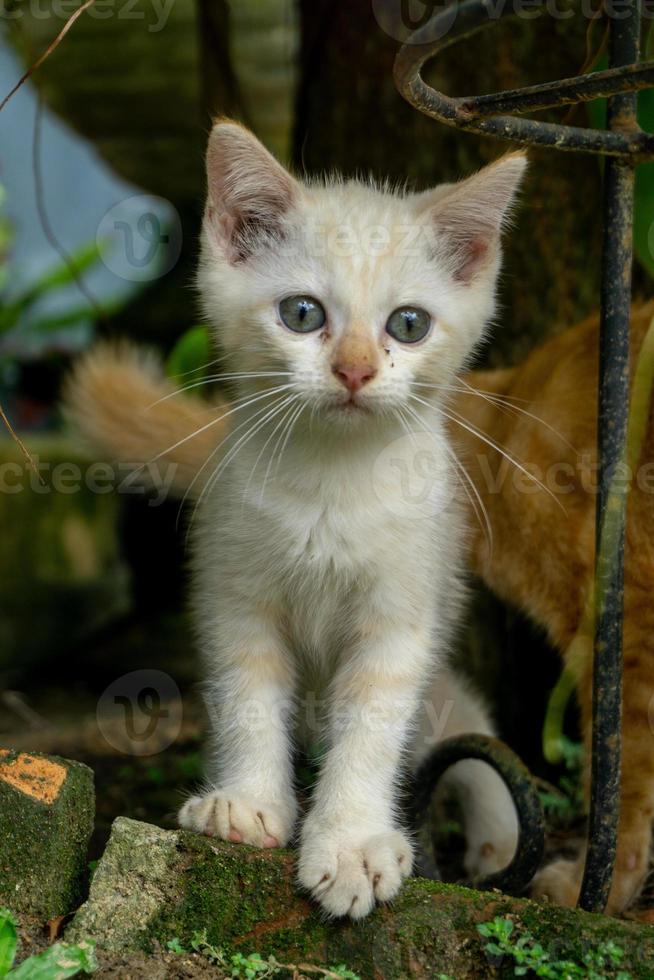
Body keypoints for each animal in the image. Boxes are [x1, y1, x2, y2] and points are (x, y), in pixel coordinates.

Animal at [176, 124, 528, 920]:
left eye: (409, 324)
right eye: (302, 314)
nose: (356, 370)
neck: (331, 484)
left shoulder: (401, 614)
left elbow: (371, 728)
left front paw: (351, 843)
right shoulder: (234, 593)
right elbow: (247, 697)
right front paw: (248, 802)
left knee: (463, 715)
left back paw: (497, 832)